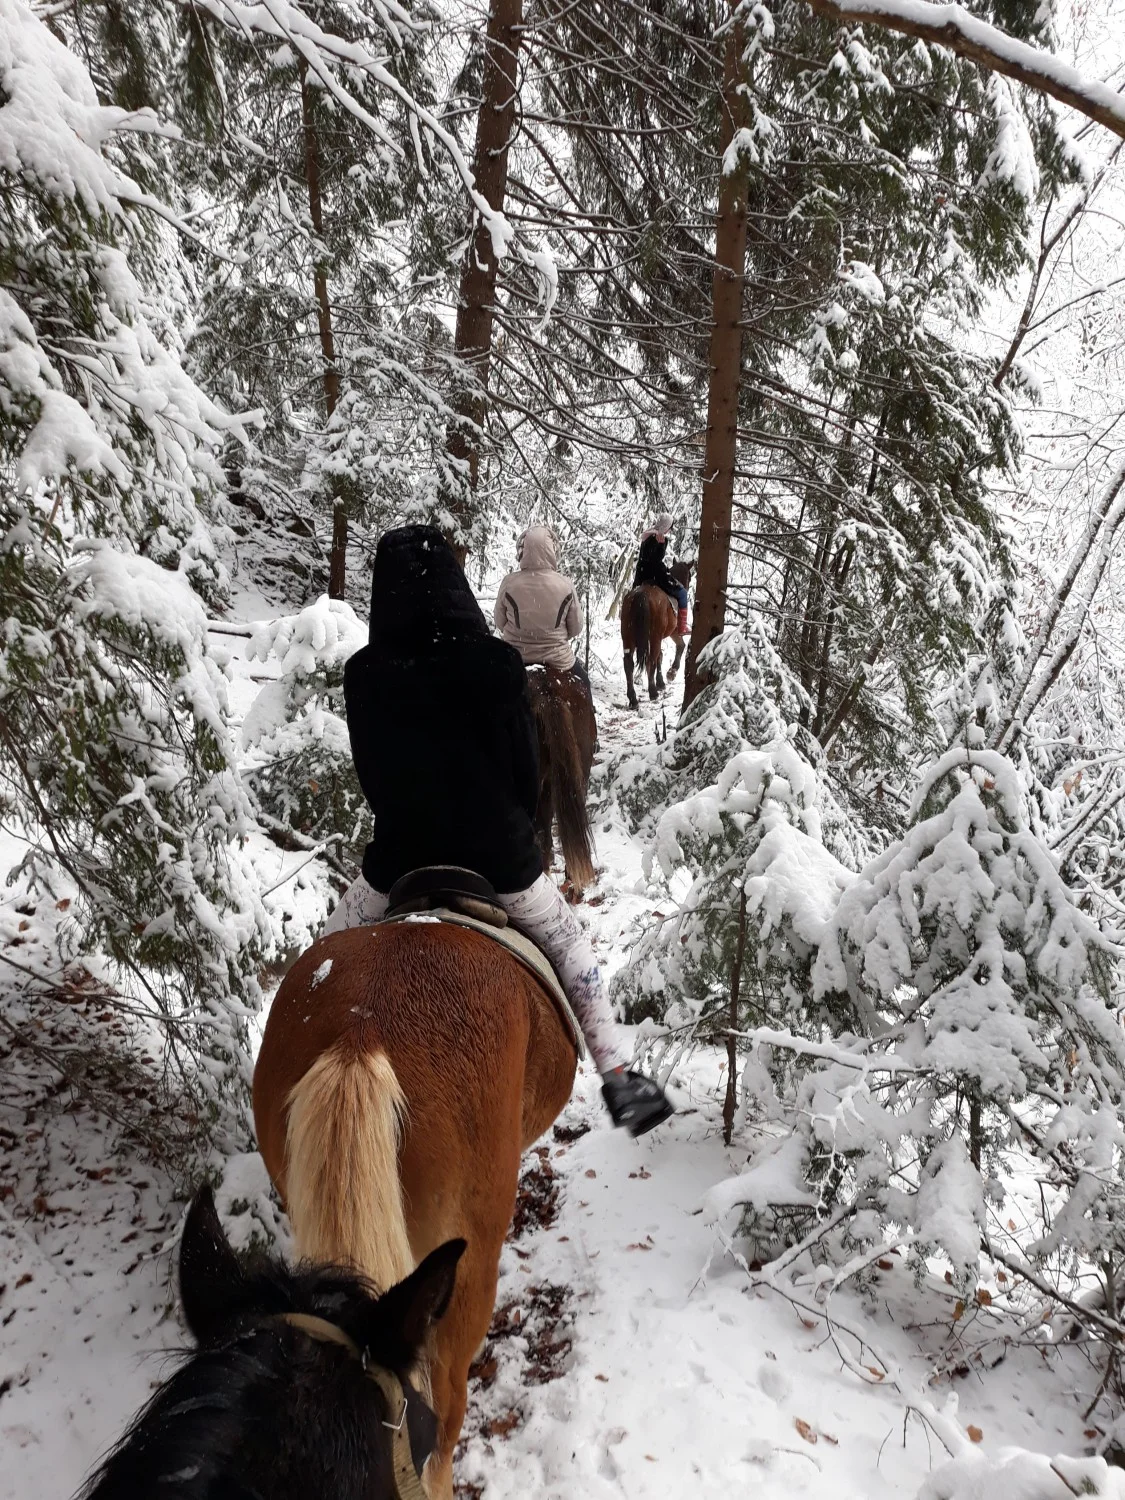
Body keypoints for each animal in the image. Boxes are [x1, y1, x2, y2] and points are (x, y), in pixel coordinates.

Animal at [620, 559, 694, 710]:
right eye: (689, 576)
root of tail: (640, 596)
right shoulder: (673, 632)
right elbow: (680, 647)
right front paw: (671, 673)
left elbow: (661, 655)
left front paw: (661, 682)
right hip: (655, 637)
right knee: (651, 660)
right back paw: (652, 692)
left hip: (628, 637)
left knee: (629, 663)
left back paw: (633, 699)